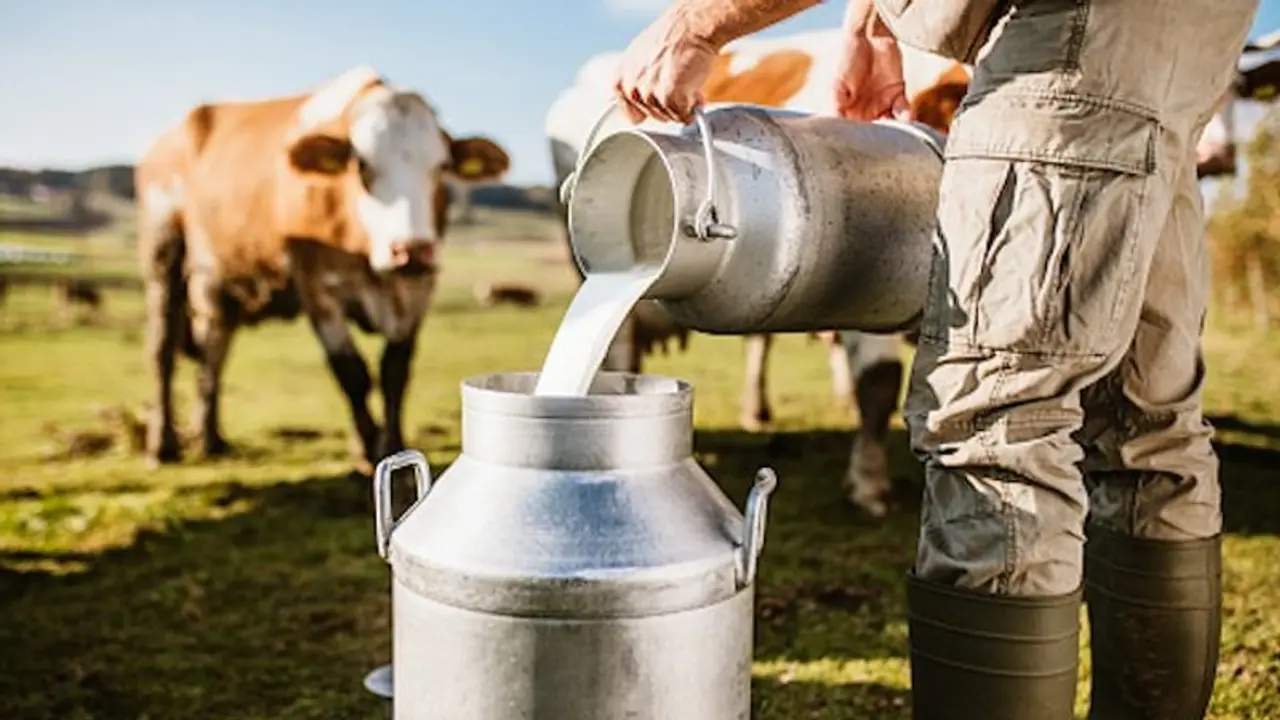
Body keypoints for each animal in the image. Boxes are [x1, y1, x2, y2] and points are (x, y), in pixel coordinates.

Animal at [136, 66, 510, 470]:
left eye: (441, 167)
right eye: (362, 165)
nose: (409, 250)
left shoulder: (418, 290)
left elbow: (394, 371)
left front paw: (392, 444)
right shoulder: (318, 289)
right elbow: (352, 372)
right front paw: (366, 450)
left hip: (220, 283)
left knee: (214, 353)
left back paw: (211, 438)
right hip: (164, 253)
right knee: (162, 349)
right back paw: (163, 445)